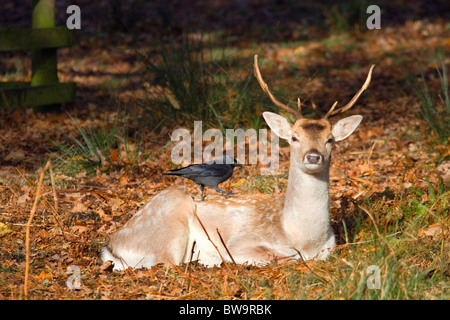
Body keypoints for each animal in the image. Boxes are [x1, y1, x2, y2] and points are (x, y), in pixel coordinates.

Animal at [101, 55, 372, 270]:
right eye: (294, 137)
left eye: (330, 139)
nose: (313, 156)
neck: (302, 236)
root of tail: (112, 244)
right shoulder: (241, 243)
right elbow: (281, 257)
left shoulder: (330, 247)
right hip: (168, 229)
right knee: (165, 262)